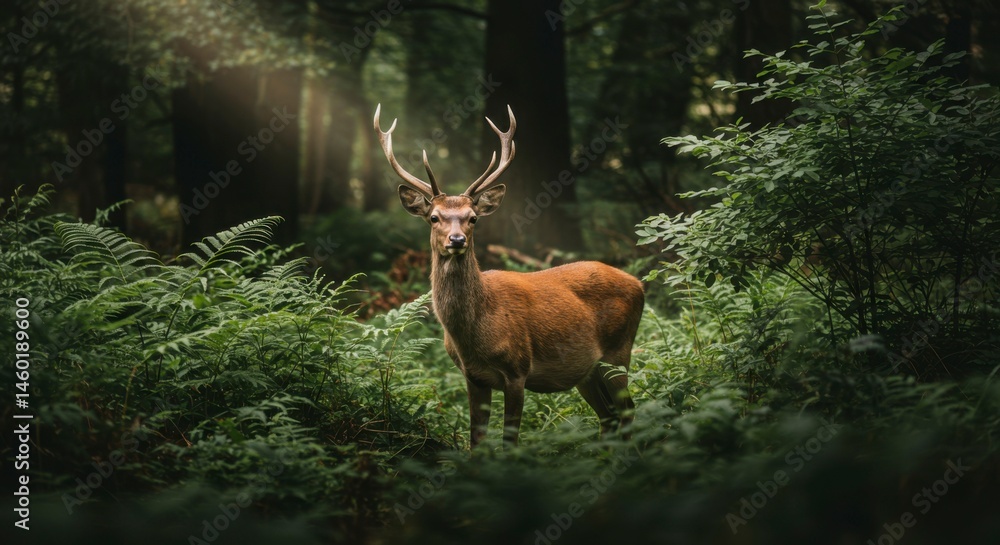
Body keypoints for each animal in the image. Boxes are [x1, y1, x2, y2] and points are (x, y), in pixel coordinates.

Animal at [374, 104, 644, 447]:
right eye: (434, 217)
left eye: (472, 218)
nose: (456, 240)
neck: (475, 333)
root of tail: (639, 284)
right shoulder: (473, 376)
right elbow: (476, 439)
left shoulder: (518, 369)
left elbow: (510, 440)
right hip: (587, 370)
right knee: (609, 417)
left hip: (618, 351)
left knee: (628, 411)